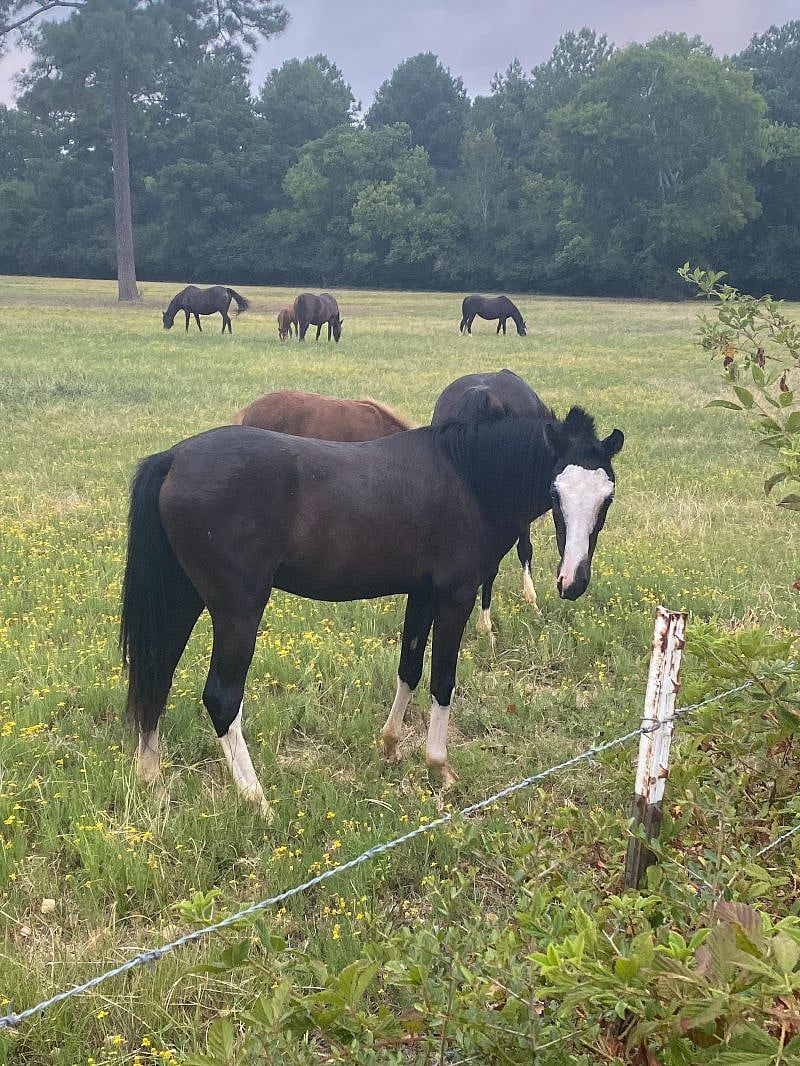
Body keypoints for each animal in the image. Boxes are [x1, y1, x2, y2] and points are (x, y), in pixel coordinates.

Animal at [120, 406, 623, 806]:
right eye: (555, 493)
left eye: (607, 497)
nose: (573, 581)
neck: (468, 477)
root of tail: (173, 458)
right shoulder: (454, 597)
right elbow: (442, 680)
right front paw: (439, 768)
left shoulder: (421, 594)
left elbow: (409, 668)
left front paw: (391, 745)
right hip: (237, 612)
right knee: (221, 698)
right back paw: (256, 798)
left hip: (181, 599)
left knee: (157, 674)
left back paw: (151, 779)